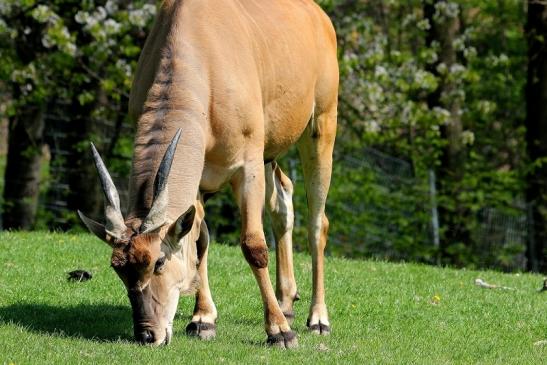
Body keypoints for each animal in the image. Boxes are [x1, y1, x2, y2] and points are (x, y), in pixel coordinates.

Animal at [78, 0, 338, 346]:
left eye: (158, 261)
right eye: (118, 269)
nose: (147, 334)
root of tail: (319, 16)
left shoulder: (248, 166)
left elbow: (253, 246)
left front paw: (279, 332)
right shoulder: (199, 178)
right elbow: (199, 241)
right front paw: (202, 320)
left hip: (320, 126)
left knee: (317, 222)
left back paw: (317, 318)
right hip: (270, 152)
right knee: (283, 198)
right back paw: (286, 302)